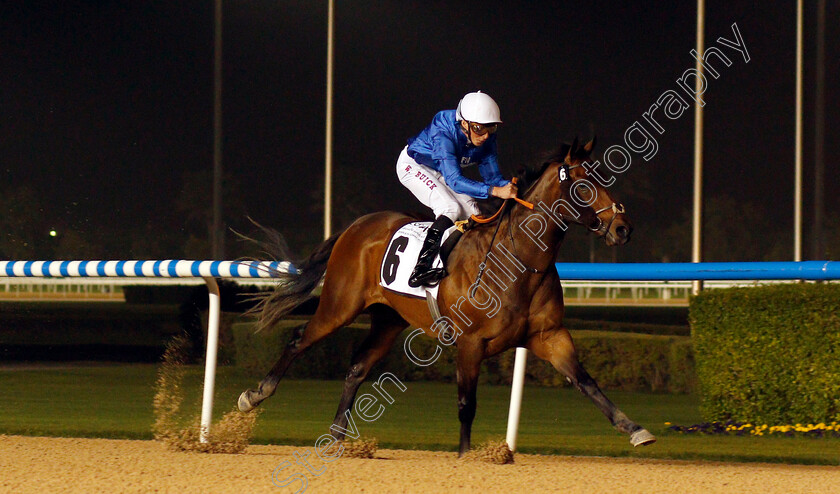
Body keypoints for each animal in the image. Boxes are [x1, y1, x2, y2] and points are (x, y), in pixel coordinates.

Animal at [236, 138, 656, 456]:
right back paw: (254, 395)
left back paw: (337, 436)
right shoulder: (471, 342)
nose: (624, 228)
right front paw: (466, 456)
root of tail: (354, 227)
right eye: (584, 184)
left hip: (388, 319)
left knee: (356, 368)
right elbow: (466, 404)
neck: (519, 261)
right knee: (298, 340)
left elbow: (587, 382)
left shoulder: (550, 335)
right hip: (340, 306)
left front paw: (635, 428)